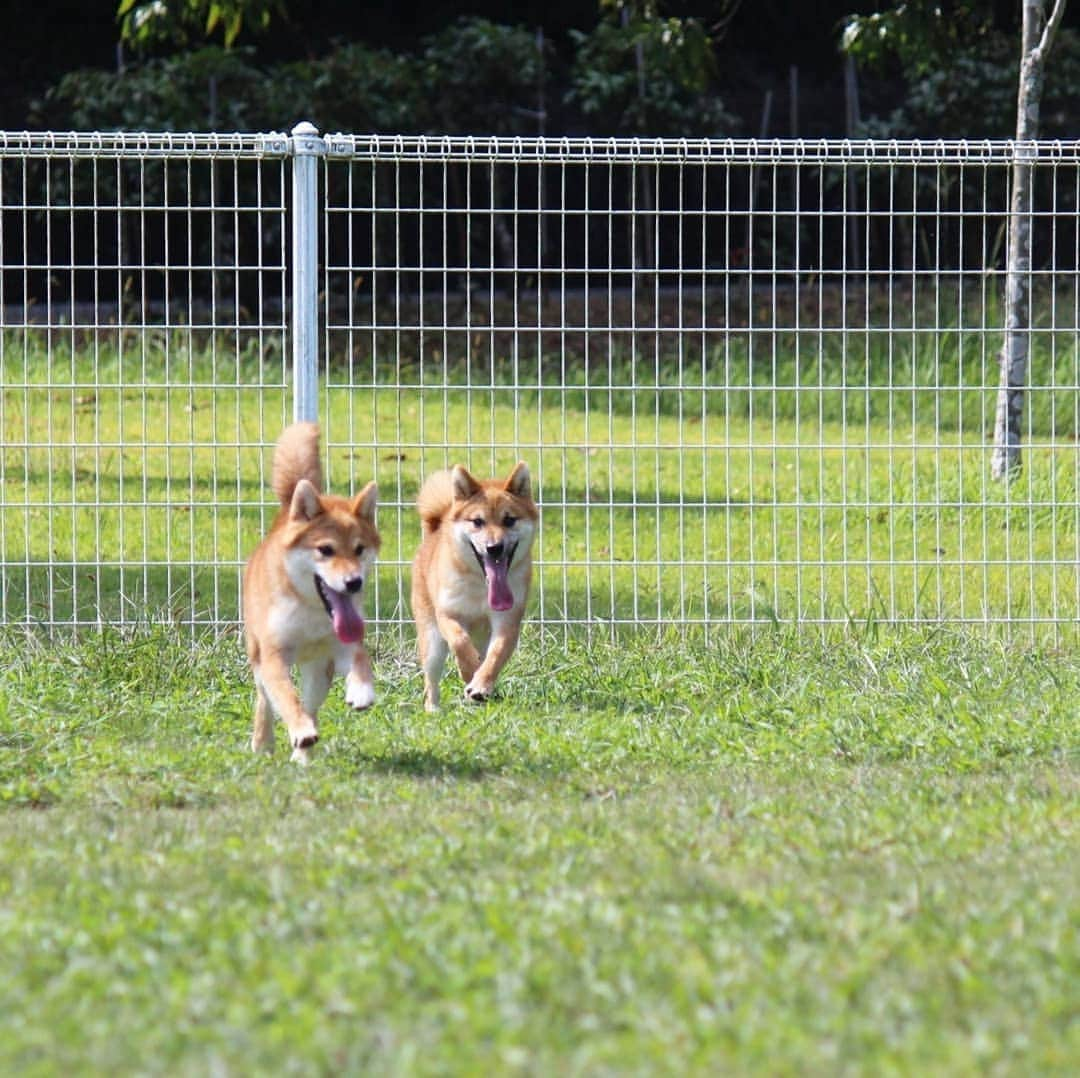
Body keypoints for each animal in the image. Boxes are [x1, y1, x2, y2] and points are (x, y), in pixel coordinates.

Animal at [244, 425, 380, 764]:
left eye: (360, 549)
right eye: (325, 550)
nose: (354, 582)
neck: (310, 610)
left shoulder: (341, 645)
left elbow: (361, 657)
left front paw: (361, 691)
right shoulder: (274, 656)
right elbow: (286, 699)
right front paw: (299, 730)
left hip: (318, 673)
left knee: (311, 705)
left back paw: (302, 757)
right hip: (257, 653)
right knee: (266, 699)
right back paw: (264, 741)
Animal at [408, 462, 535, 708]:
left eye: (509, 520)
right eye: (477, 522)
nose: (494, 547)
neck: (482, 587)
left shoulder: (507, 620)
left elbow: (495, 656)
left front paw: (480, 685)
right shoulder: (448, 613)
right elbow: (460, 642)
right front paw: (469, 671)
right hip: (431, 639)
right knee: (431, 680)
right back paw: (433, 708)